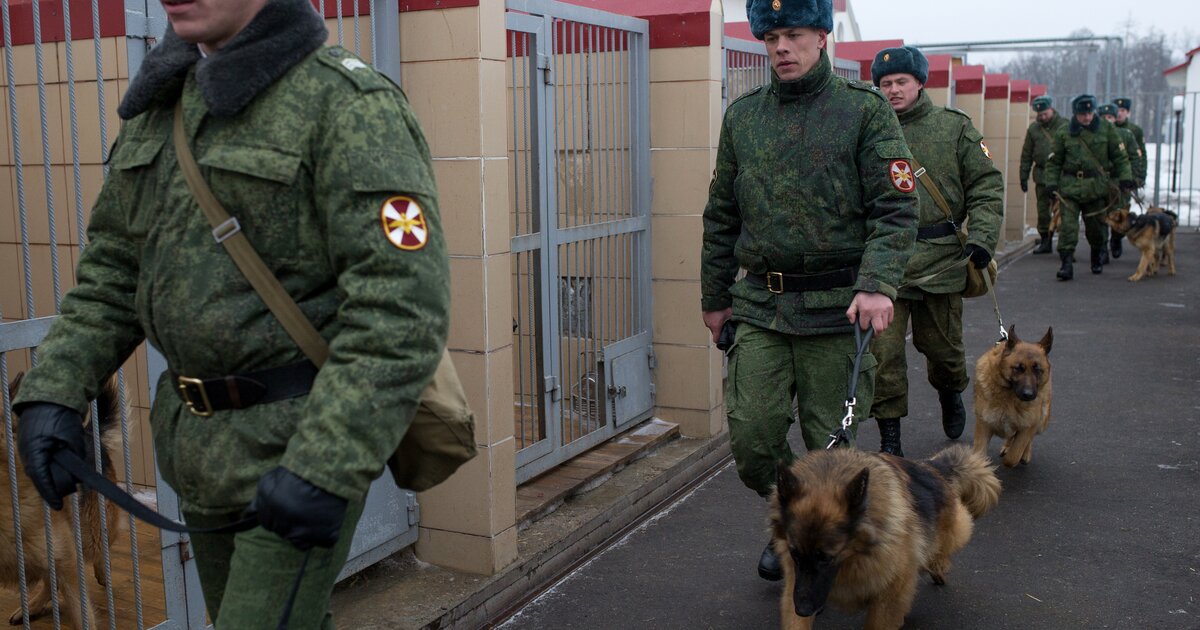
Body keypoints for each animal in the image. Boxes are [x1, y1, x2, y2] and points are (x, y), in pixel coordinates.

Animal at [768, 444, 1003, 624]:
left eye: (826, 557)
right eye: (795, 554)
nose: (803, 610)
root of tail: (932, 467)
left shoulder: (889, 596)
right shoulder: (797, 584)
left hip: (952, 529)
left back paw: (937, 566)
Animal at [974, 324, 1051, 465]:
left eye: (1037, 370)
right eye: (1018, 368)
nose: (1028, 395)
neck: (1009, 396)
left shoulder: (1028, 427)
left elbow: (1012, 457)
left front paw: (1013, 456)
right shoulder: (983, 425)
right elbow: (978, 456)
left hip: (1042, 421)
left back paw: (1024, 453)